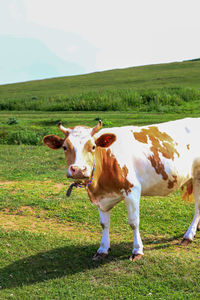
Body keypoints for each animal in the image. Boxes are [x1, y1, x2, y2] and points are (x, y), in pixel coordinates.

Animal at [42, 118, 200, 262]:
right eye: (64, 147)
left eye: (93, 147)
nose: (79, 169)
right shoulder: (100, 198)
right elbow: (104, 224)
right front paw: (102, 249)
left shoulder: (132, 191)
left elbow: (134, 222)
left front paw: (137, 250)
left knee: (197, 207)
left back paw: (188, 235)